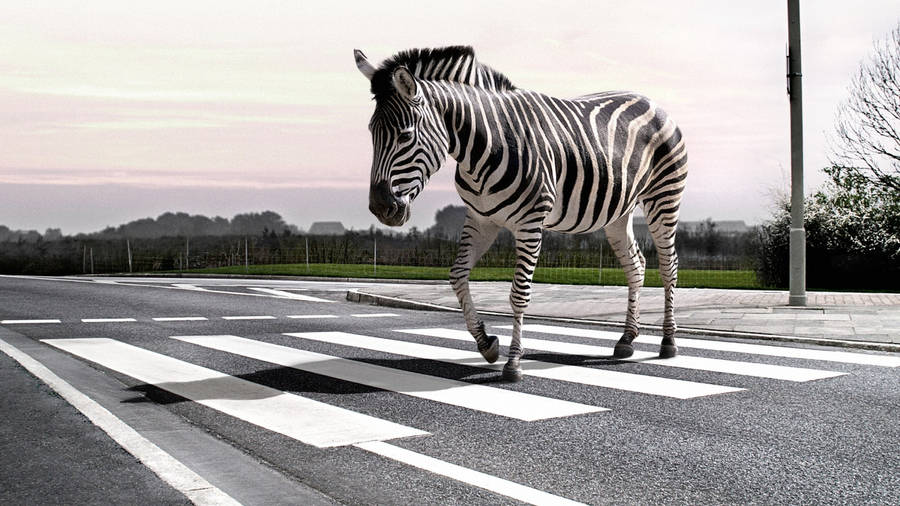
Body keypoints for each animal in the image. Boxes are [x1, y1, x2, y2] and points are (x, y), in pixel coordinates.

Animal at [354, 46, 688, 382]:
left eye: (405, 136)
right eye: (371, 132)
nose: (380, 207)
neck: (483, 148)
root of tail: (650, 101)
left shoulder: (530, 223)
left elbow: (519, 293)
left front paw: (513, 362)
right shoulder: (480, 220)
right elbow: (457, 276)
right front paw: (487, 343)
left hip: (663, 198)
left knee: (669, 266)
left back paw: (668, 342)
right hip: (618, 213)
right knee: (636, 265)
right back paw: (626, 339)